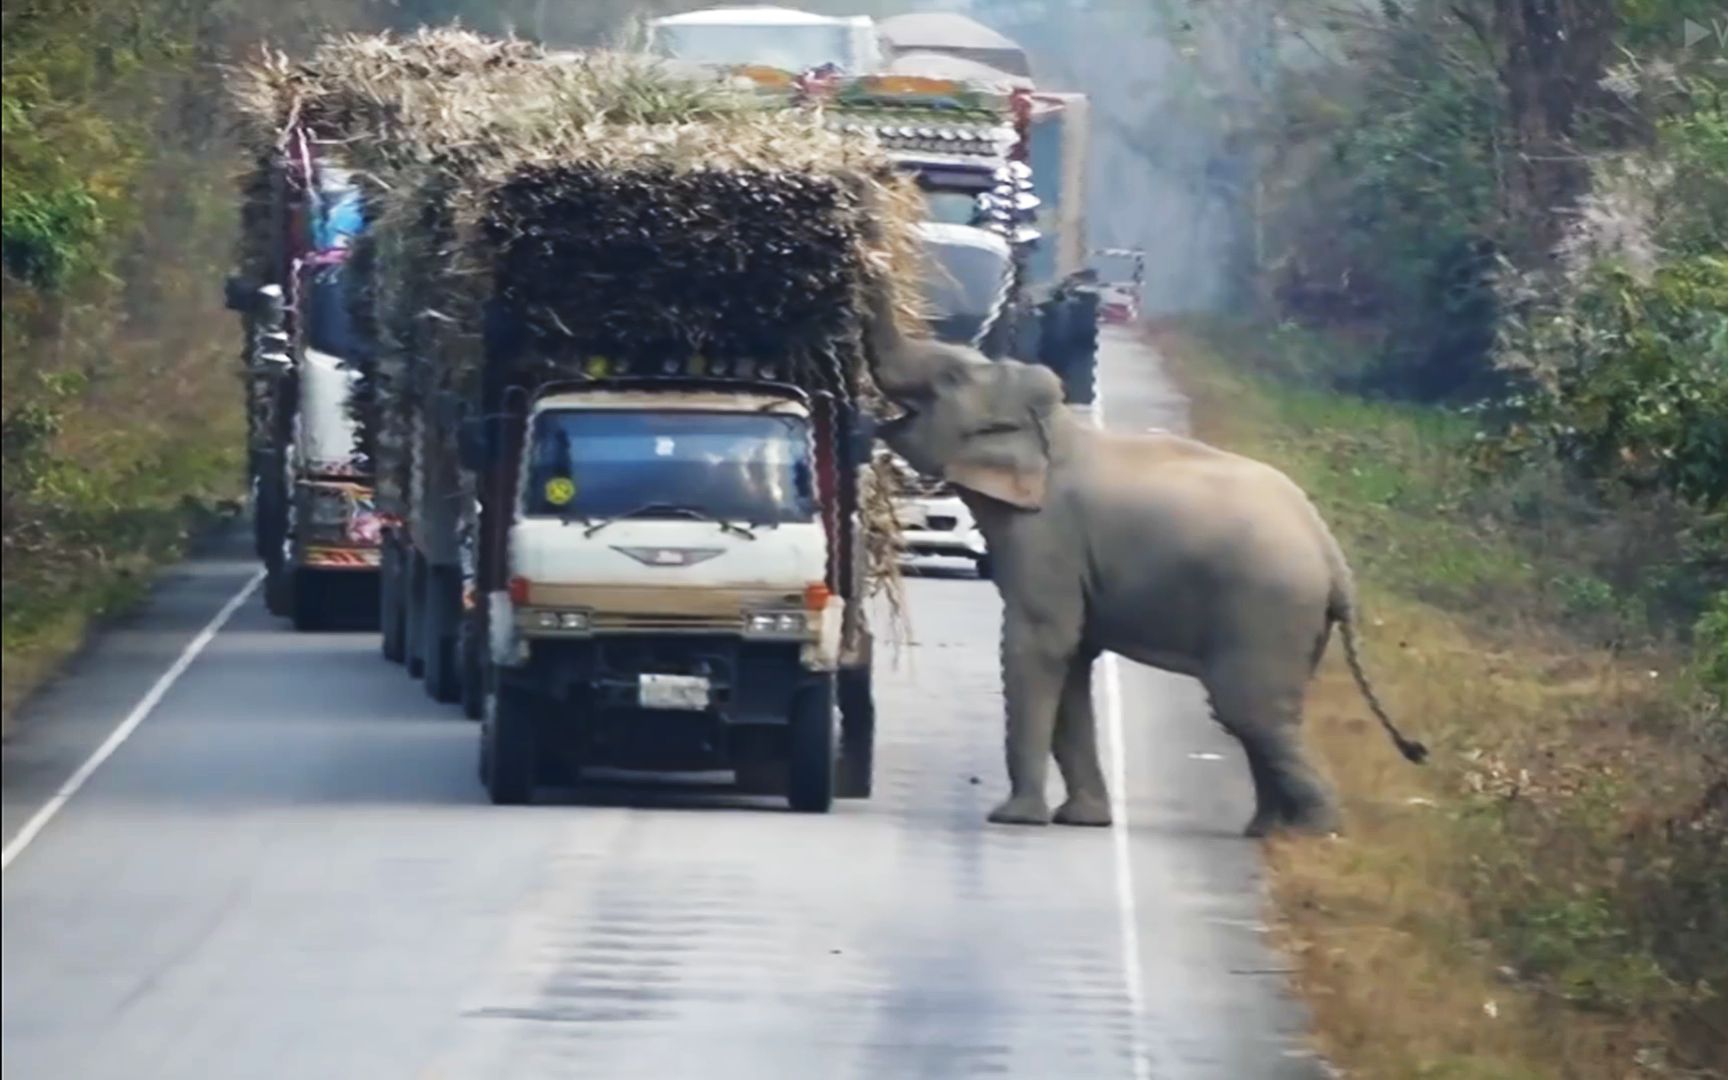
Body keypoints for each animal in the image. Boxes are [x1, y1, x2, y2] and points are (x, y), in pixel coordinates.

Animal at [870, 309, 1423, 832]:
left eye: (948, 379)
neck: (1058, 430)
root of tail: (1332, 556)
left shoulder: (1048, 538)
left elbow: (1042, 646)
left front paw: (1013, 818)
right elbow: (1074, 659)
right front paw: (1083, 820)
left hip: (1267, 608)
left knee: (1248, 710)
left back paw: (1312, 832)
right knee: (1261, 714)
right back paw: (1267, 830)